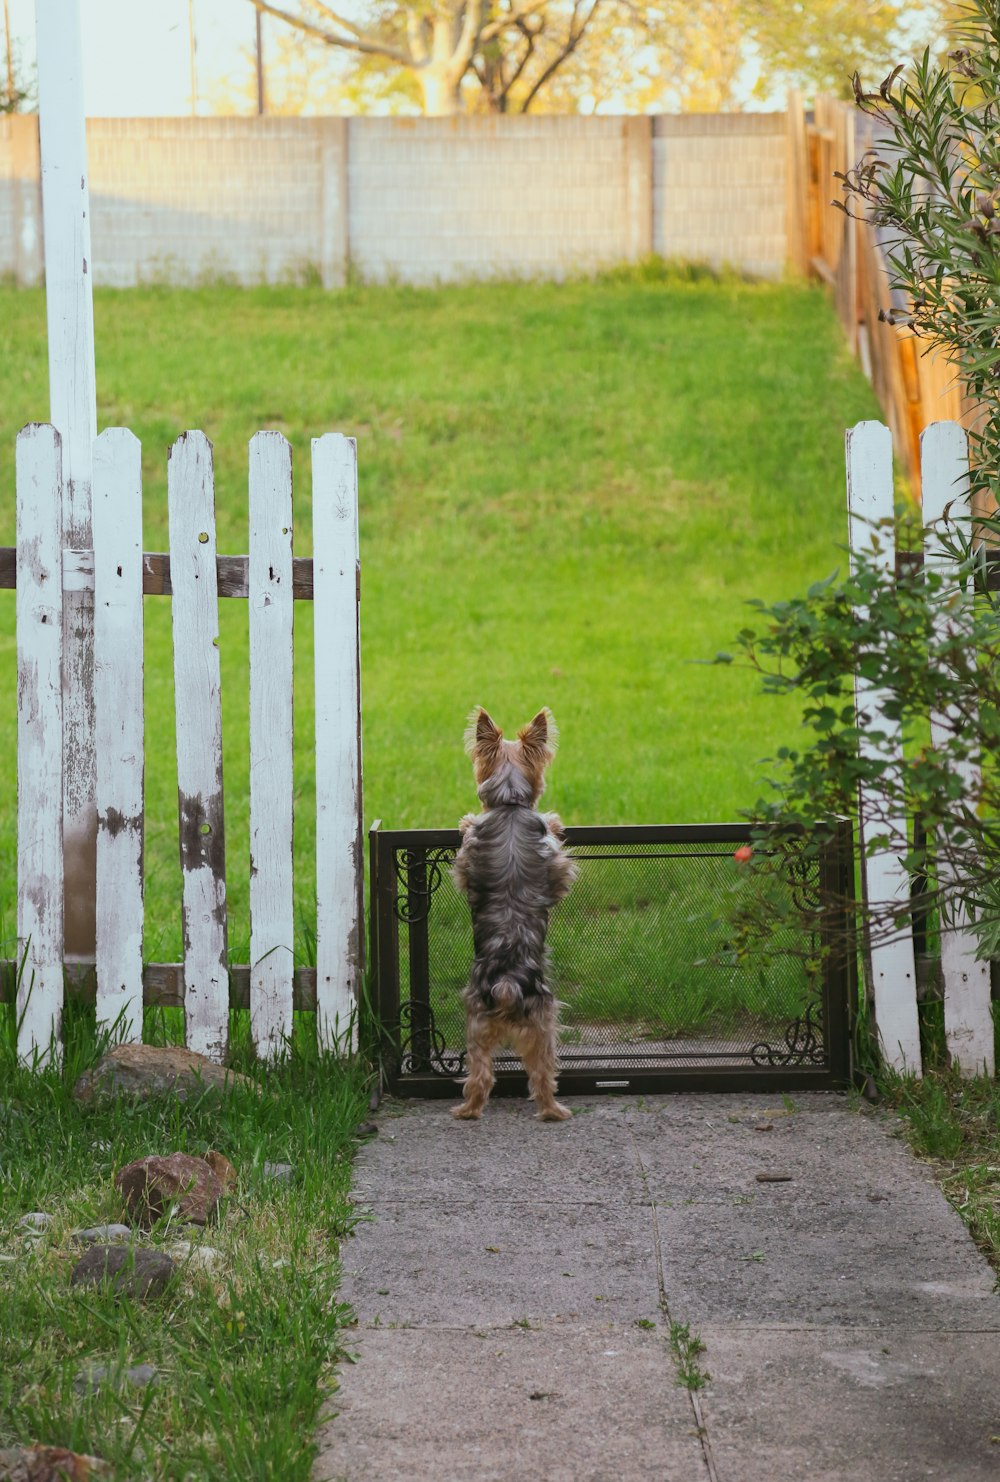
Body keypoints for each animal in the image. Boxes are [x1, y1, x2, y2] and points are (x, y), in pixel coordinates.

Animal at [450, 705, 574, 1120]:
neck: (508, 803)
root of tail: (506, 985)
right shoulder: (557, 865)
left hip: (476, 1024)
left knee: (480, 1075)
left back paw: (467, 1111)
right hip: (544, 1021)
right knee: (543, 1072)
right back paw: (554, 1111)